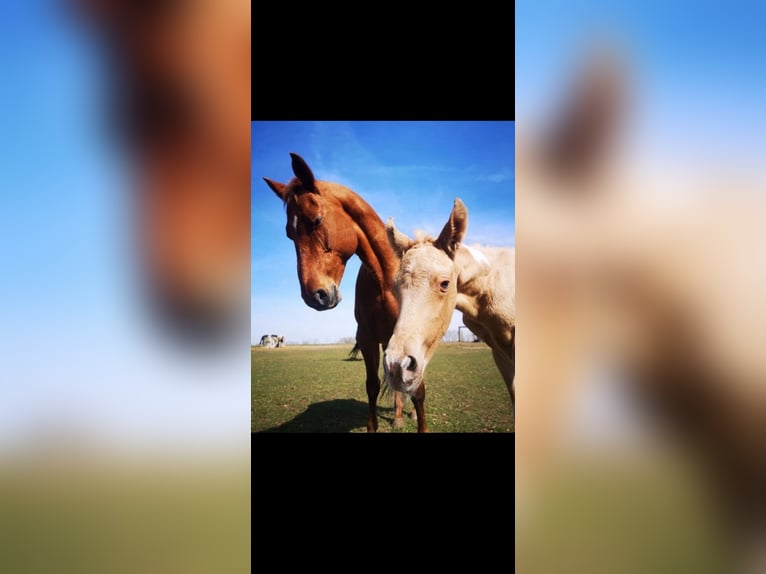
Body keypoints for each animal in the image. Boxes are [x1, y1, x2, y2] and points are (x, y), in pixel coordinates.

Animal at [263, 153, 427, 432]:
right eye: (289, 233)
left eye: (316, 220)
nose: (314, 295)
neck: (387, 283)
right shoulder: (368, 338)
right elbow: (372, 386)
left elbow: (419, 390)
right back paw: (397, 416)